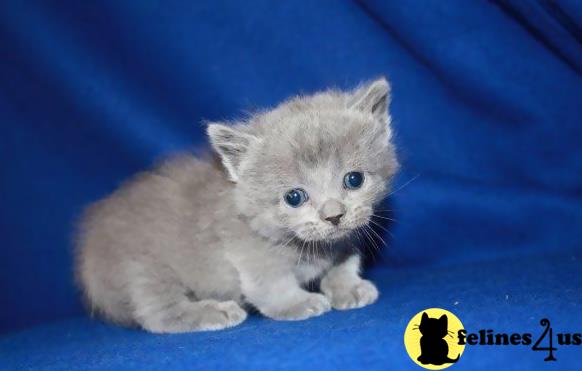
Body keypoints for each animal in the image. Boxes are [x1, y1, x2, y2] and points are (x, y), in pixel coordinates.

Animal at [74, 78, 402, 334]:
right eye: (294, 197)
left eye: (354, 179)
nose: (333, 215)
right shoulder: (249, 252)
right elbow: (271, 284)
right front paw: (298, 303)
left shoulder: (348, 237)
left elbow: (345, 261)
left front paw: (349, 287)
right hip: (143, 269)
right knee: (159, 313)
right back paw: (214, 311)